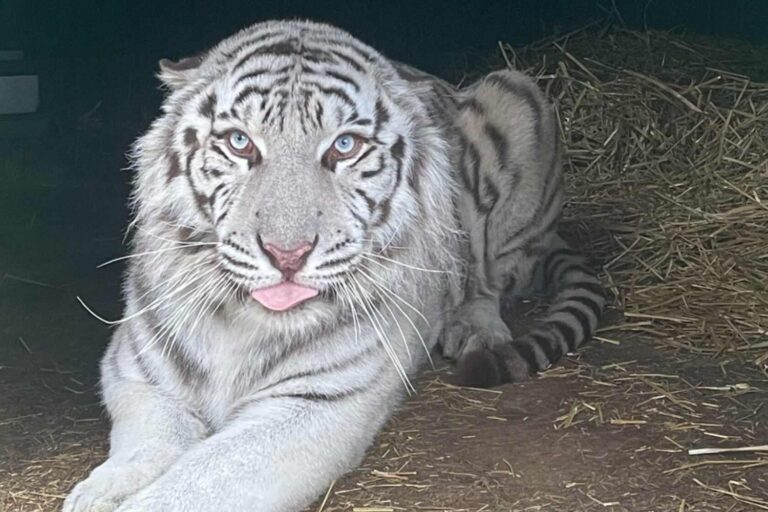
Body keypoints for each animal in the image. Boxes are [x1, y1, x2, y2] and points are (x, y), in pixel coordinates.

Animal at [63, 19, 604, 512]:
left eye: (345, 147)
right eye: (239, 142)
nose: (287, 254)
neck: (238, 322)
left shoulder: (318, 403)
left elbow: (202, 478)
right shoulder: (137, 376)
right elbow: (150, 443)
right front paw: (98, 493)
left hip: (516, 96)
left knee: (492, 277)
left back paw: (477, 329)